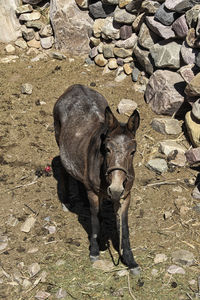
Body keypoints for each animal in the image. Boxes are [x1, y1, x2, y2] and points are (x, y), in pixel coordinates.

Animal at [53, 84, 141, 274]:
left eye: (133, 152)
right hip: (58, 138)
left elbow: (124, 228)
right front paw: (94, 250)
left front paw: (130, 261)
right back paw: (66, 200)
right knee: (63, 167)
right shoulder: (94, 194)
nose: (115, 189)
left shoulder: (126, 196)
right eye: (106, 149)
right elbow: (95, 219)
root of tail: (75, 86)